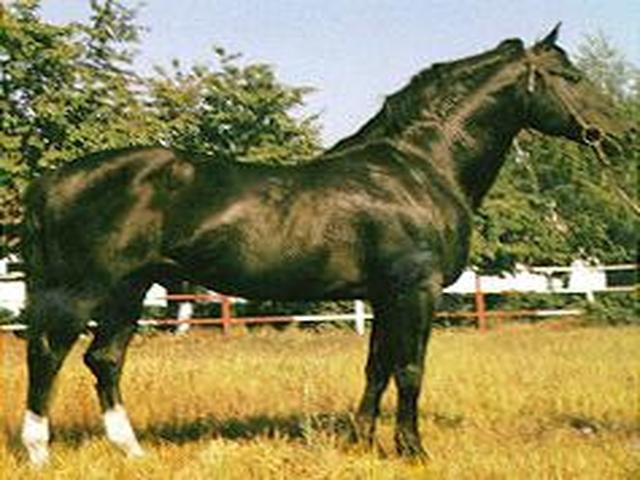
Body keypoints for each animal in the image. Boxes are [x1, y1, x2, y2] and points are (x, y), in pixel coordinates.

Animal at [19, 25, 624, 465]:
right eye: (570, 76)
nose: (620, 137)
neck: (420, 167)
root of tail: (52, 181)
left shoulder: (384, 295)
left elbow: (377, 367)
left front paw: (361, 441)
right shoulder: (416, 290)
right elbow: (410, 369)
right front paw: (412, 450)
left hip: (129, 289)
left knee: (104, 359)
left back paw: (132, 451)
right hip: (81, 291)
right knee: (48, 354)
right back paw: (39, 452)